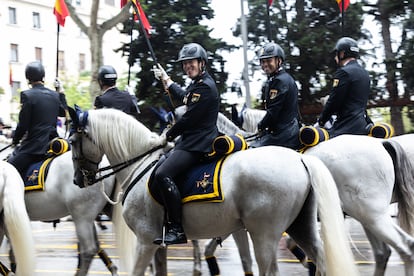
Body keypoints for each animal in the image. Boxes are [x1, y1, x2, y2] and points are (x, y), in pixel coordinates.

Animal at [67, 107, 356, 276]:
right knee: (321, 259)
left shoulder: (145, 240)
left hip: (264, 234)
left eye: (72, 140)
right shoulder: (158, 245)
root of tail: (300, 159)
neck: (139, 163)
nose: (77, 180)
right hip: (300, 226)